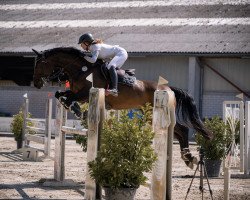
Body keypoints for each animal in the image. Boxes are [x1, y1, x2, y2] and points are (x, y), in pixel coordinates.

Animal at [31, 47, 211, 169]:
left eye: (39, 64)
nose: (36, 83)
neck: (81, 69)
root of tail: (168, 88)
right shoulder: (76, 92)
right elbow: (60, 95)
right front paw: (75, 109)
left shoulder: (85, 93)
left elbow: (67, 97)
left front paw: (76, 109)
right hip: (149, 115)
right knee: (178, 132)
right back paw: (187, 157)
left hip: (157, 114)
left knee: (182, 130)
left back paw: (189, 157)